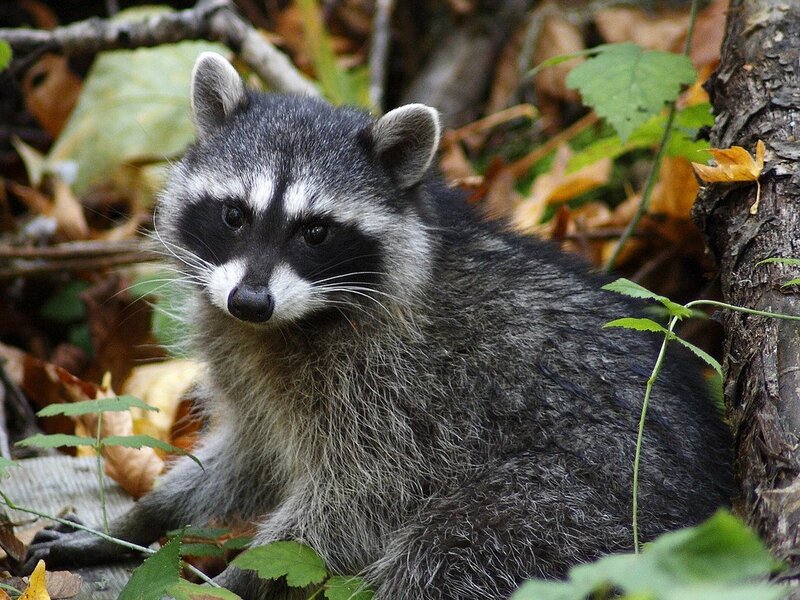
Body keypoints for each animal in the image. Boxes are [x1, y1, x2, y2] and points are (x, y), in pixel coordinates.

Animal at [26, 53, 734, 599]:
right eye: (233, 214)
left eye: (315, 232)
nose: (249, 301)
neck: (289, 324)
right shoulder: (254, 373)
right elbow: (246, 458)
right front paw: (141, 518)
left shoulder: (402, 393)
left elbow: (355, 504)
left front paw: (231, 579)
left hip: (568, 505)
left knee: (447, 553)